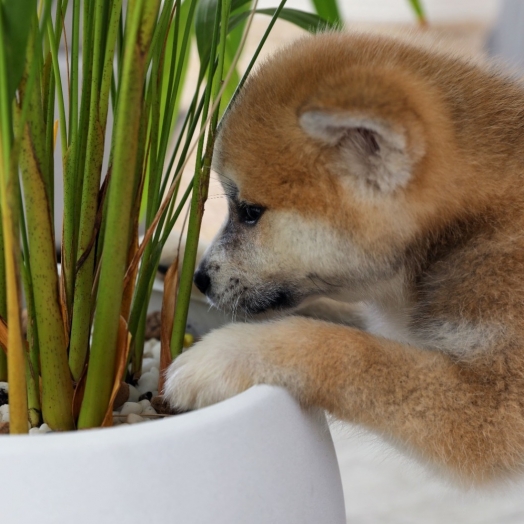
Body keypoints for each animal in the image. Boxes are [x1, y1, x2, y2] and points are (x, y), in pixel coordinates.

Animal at [165, 32, 524, 484]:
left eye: (249, 212)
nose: (201, 279)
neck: (463, 230)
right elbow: (335, 320)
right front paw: (172, 256)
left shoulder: (493, 409)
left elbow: (351, 351)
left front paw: (227, 354)